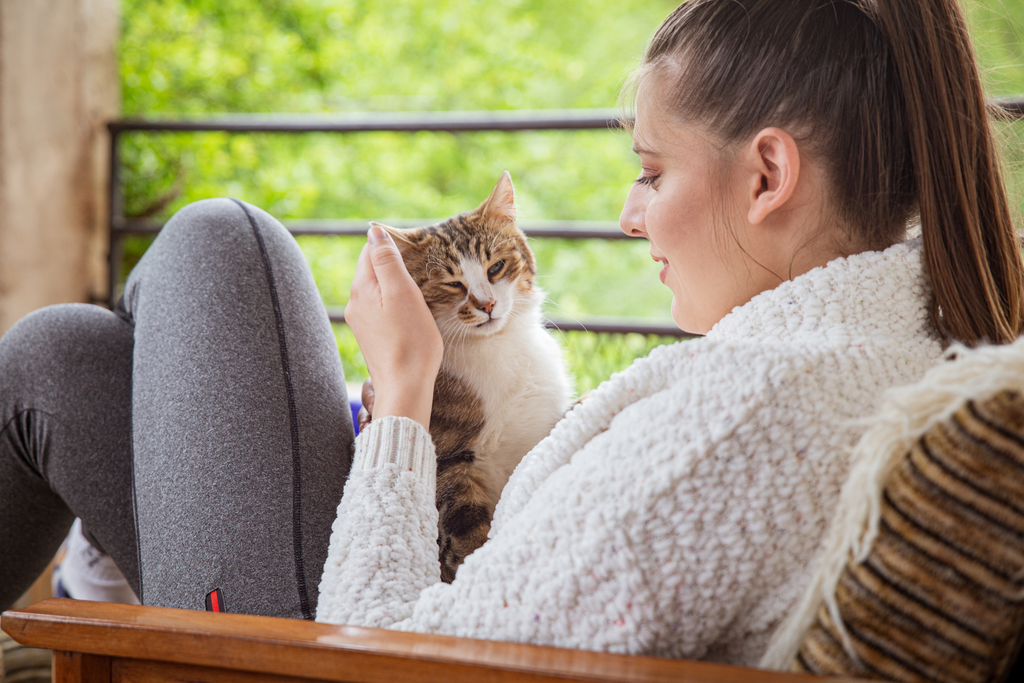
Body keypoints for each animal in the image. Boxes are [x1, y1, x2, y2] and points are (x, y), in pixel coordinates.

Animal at [360, 171, 573, 581]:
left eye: (496, 267)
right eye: (453, 283)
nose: (486, 304)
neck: (497, 347)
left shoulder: (539, 424)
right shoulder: (450, 459)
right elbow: (465, 522)